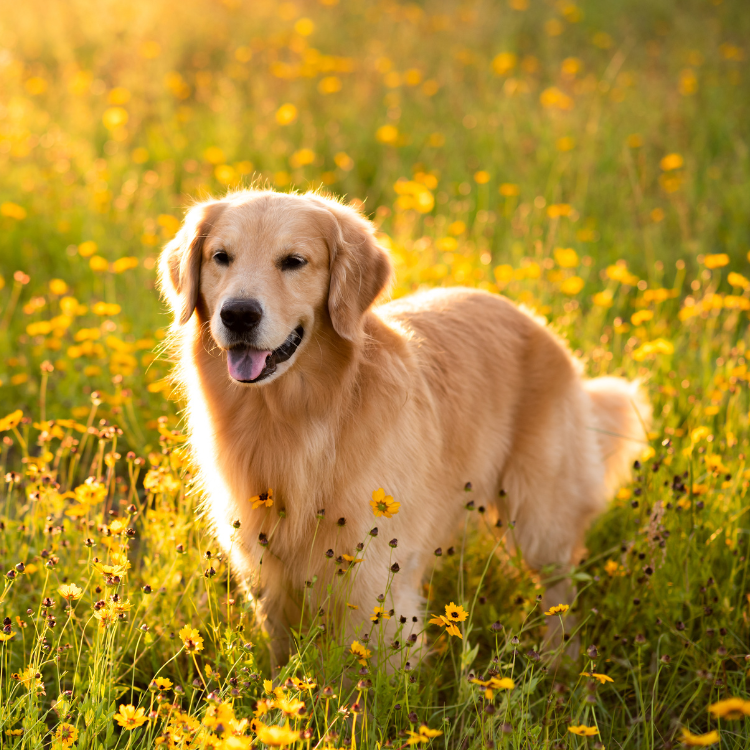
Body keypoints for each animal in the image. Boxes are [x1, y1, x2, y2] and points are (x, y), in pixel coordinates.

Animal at [159, 188, 652, 668]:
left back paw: (560, 660)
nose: (238, 315)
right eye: (221, 257)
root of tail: (536, 320)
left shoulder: (371, 575)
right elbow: (282, 654)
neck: (297, 418)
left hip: (539, 513)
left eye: (294, 261)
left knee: (559, 586)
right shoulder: (265, 569)